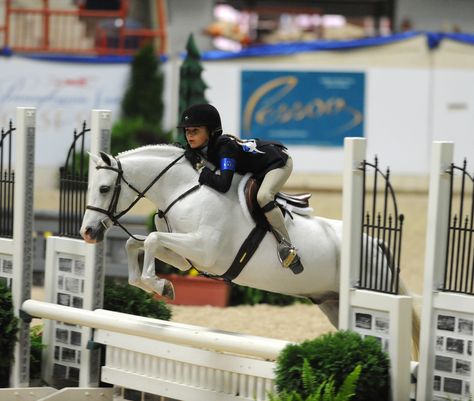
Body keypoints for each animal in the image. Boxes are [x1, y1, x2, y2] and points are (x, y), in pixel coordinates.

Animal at [80, 145, 386, 326]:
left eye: (104, 189)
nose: (88, 232)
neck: (183, 190)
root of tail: (376, 244)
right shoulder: (185, 257)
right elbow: (135, 243)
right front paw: (156, 285)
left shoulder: (204, 249)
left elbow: (152, 239)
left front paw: (161, 285)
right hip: (331, 303)